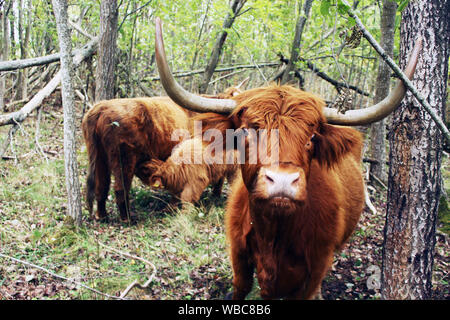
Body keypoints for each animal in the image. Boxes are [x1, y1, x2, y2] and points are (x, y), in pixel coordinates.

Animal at [155, 18, 422, 300]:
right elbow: (240, 287)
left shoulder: (315, 268)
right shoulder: (239, 256)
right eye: (246, 130)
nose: (282, 181)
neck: (274, 233)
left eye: (312, 137)